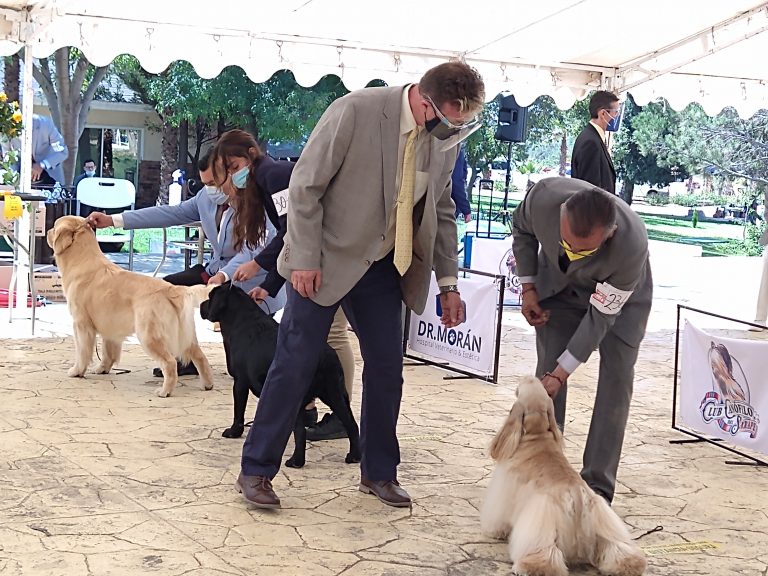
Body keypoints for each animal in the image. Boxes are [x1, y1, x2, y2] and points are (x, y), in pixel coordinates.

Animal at [47, 214, 216, 398]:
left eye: (54, 227)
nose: (47, 231)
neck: (82, 260)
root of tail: (172, 289)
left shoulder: (81, 324)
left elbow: (82, 352)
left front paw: (77, 371)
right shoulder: (110, 327)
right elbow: (108, 352)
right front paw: (102, 368)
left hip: (148, 336)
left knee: (170, 362)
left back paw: (164, 391)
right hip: (186, 336)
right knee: (200, 357)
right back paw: (207, 385)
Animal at [201, 282, 364, 468]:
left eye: (211, 297)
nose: (201, 305)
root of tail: (325, 357)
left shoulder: (240, 382)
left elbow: (238, 411)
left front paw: (234, 431)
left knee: (304, 431)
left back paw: (298, 461)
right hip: (333, 392)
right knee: (348, 424)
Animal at [484, 376, 644, 576]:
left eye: (523, 386)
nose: (528, 377)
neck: (537, 435)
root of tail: (578, 496)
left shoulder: (506, 487)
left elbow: (499, 516)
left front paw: (496, 531)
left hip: (541, 522)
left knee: (546, 556)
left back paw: (529, 567)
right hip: (604, 524)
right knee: (619, 550)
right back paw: (627, 566)